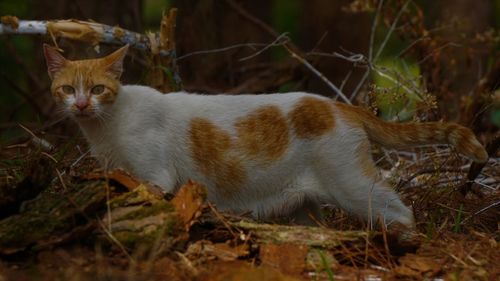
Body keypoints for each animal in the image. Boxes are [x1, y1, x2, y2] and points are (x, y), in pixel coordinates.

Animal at [43, 43, 488, 228]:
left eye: (97, 89)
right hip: (306, 207)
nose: (80, 105)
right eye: (66, 89)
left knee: (401, 212)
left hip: (353, 186)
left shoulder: (156, 177)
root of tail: (340, 105)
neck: (105, 125)